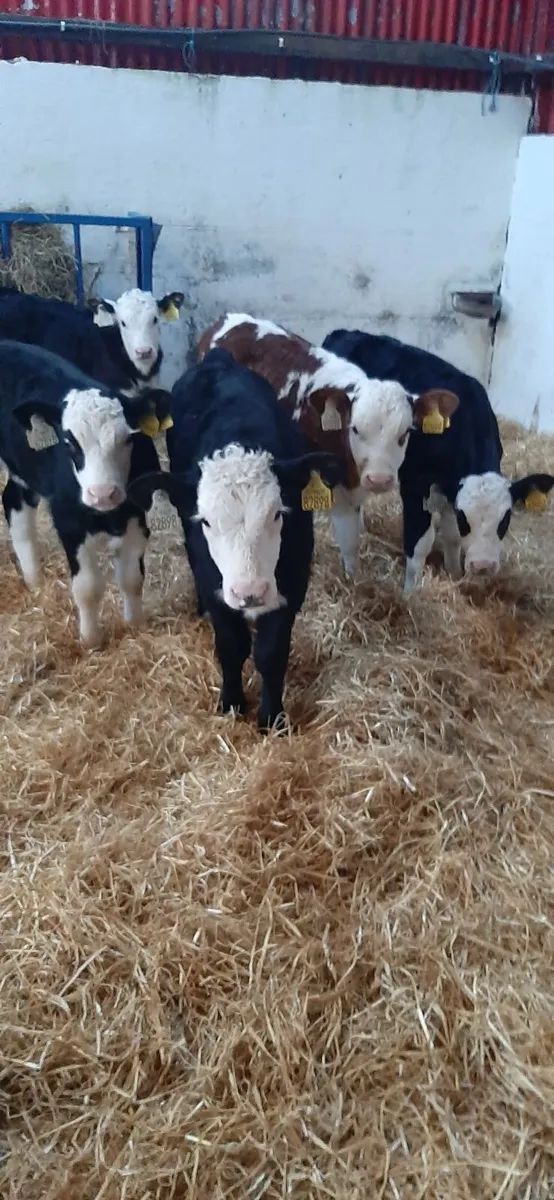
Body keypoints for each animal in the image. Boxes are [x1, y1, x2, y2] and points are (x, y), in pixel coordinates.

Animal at [0, 340, 173, 647]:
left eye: (128, 438)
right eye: (69, 442)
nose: (102, 493)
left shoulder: (137, 516)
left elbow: (131, 578)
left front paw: (135, 625)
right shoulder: (69, 522)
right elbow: (88, 587)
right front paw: (91, 640)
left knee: (14, 503)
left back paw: (34, 581)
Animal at [128, 348, 341, 731]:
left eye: (278, 514)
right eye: (206, 522)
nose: (249, 592)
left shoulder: (292, 583)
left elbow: (271, 653)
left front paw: (272, 717)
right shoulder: (216, 586)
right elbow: (231, 645)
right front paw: (231, 702)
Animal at [196, 313, 458, 580]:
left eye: (405, 433)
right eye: (355, 429)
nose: (379, 480)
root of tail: (229, 318)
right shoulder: (335, 486)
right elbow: (350, 542)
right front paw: (354, 582)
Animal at [322, 328, 554, 590]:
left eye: (505, 520)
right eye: (466, 519)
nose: (483, 566)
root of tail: (345, 332)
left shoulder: (450, 487)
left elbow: (452, 538)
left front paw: (454, 575)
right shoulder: (415, 484)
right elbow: (419, 544)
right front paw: (411, 592)